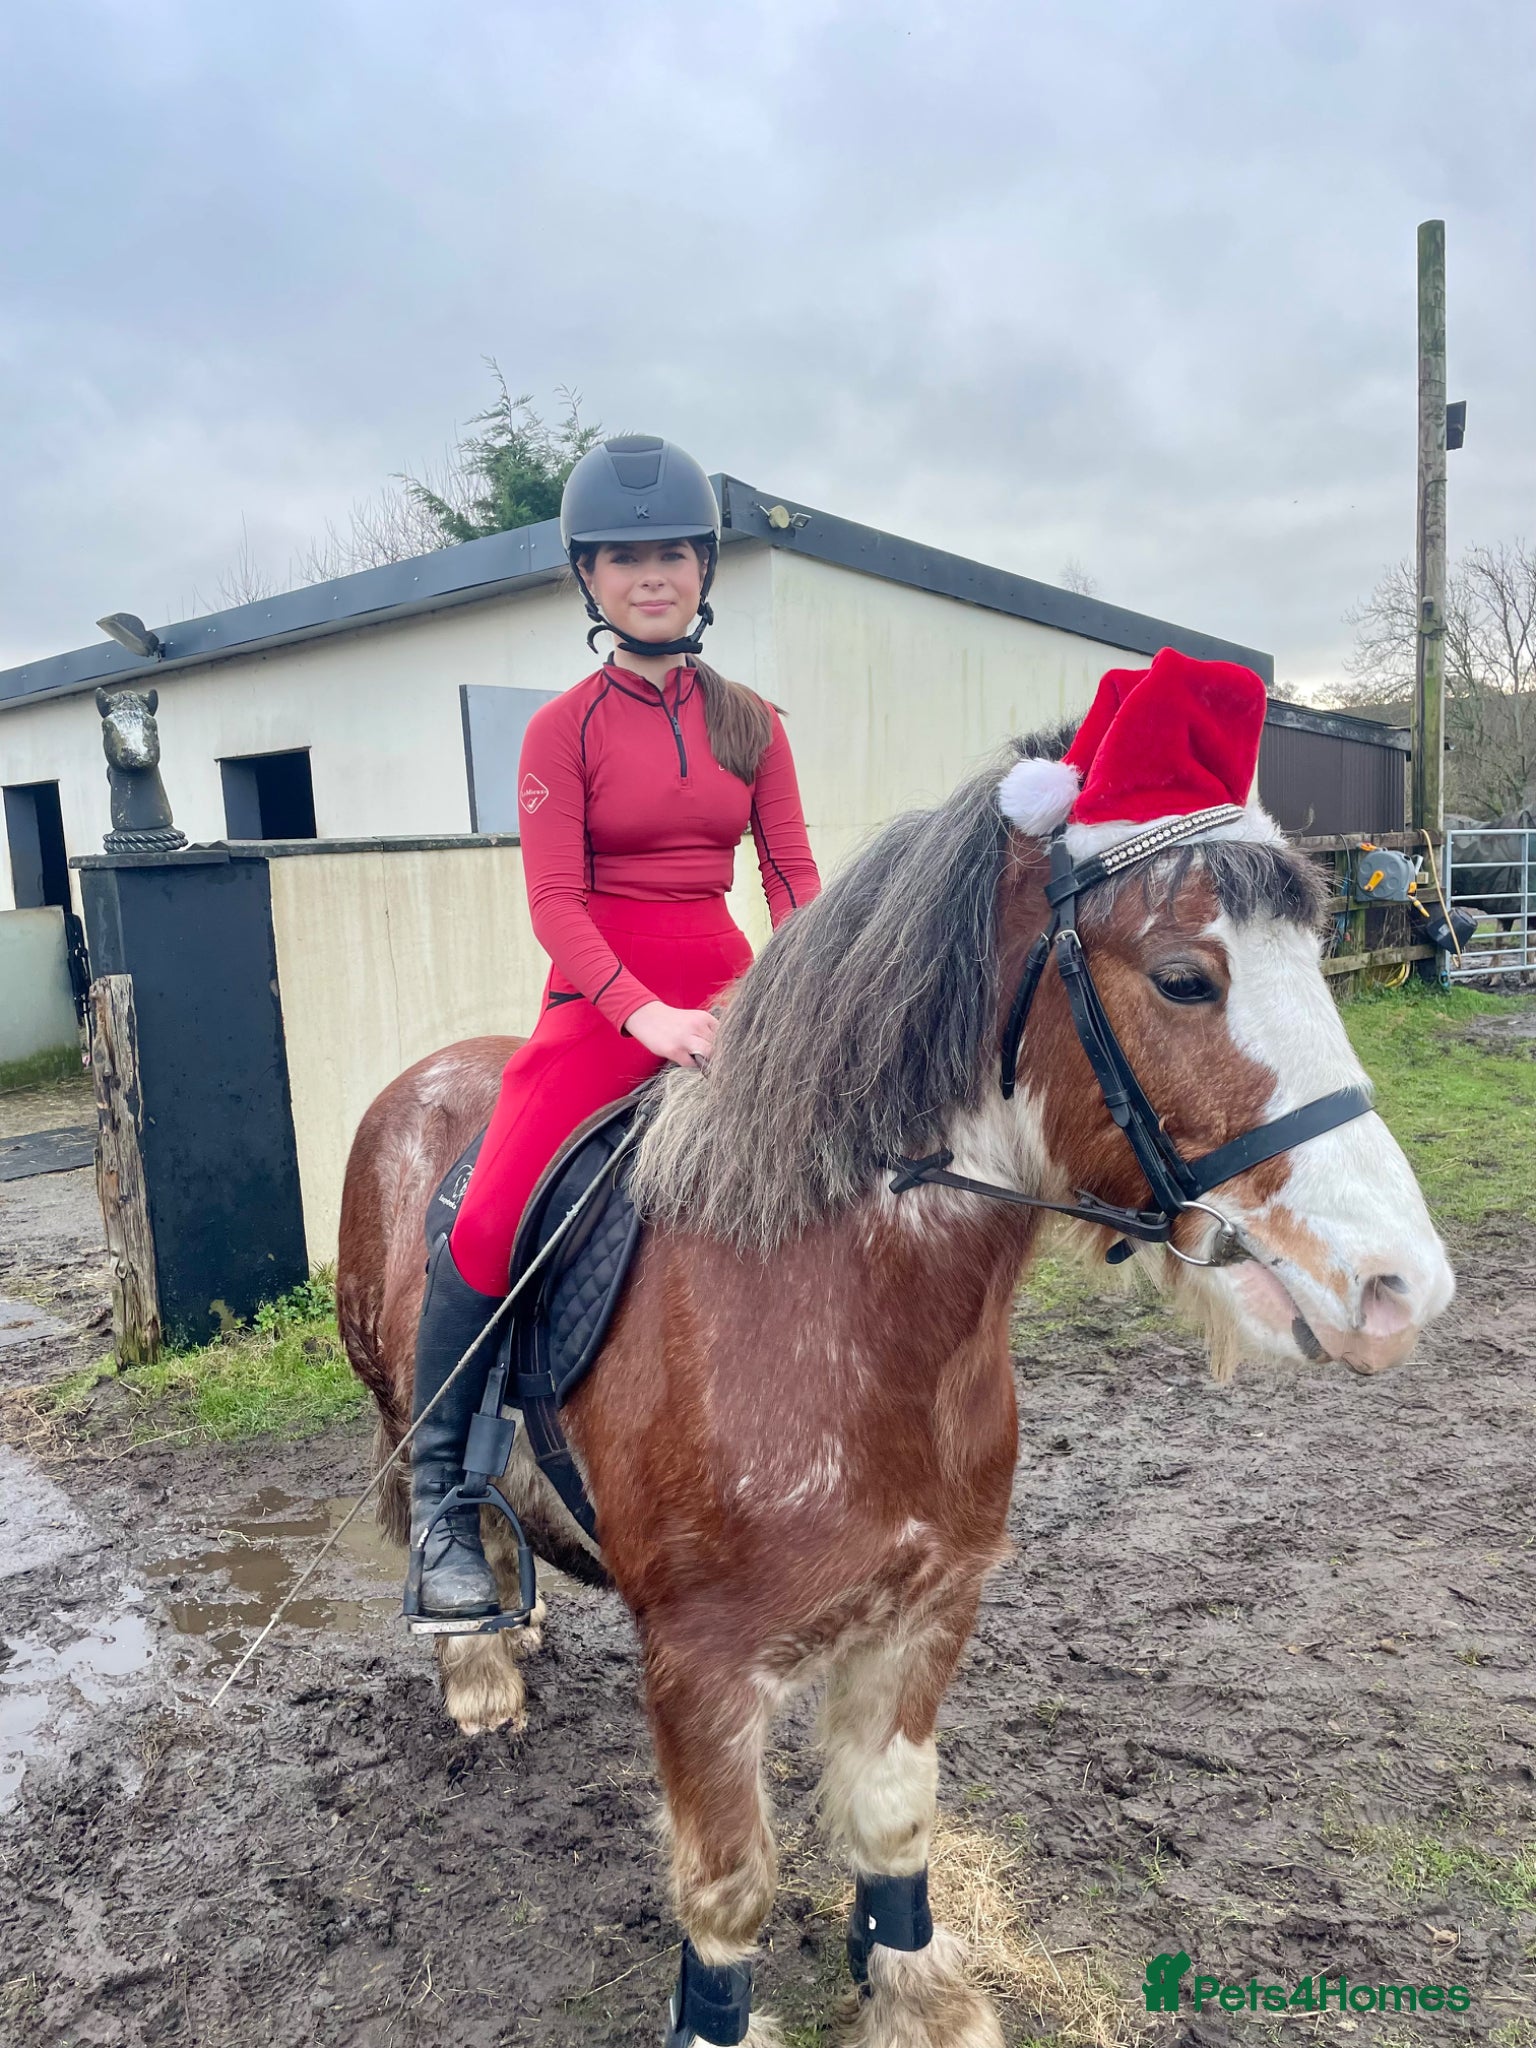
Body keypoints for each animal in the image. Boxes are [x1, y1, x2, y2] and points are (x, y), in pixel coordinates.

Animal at [337, 736, 1454, 2048]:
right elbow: (730, 1881)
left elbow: (892, 1816)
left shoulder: (930, 1609)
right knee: (432, 1484)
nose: (1400, 1284)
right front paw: (717, 2017)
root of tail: (424, 1077)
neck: (833, 1315)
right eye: (1185, 978)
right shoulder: (700, 1666)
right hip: (394, 1390)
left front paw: (917, 1992)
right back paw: (475, 1652)